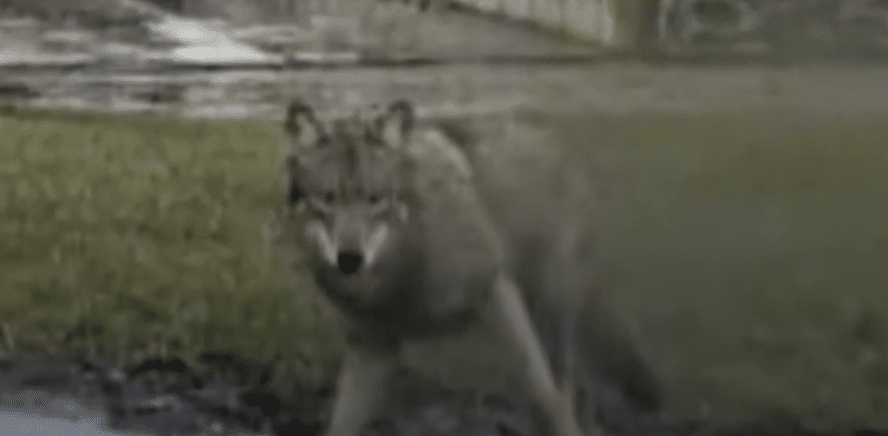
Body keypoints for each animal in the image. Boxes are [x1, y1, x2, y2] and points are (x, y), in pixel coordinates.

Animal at [280, 98, 662, 436]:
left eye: (374, 199)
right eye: (327, 199)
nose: (349, 259)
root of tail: (555, 137)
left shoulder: (497, 294)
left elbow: (544, 401)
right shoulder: (373, 349)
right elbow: (339, 426)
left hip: (550, 314)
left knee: (562, 388)